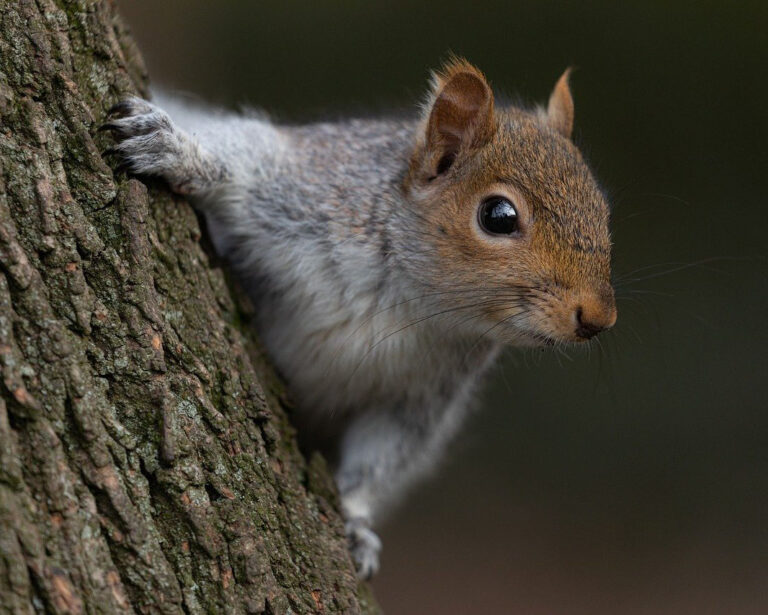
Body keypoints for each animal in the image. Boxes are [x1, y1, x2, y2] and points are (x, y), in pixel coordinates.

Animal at [103, 56, 616, 576]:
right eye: (498, 216)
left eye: (604, 210)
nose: (598, 318)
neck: (409, 299)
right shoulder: (308, 185)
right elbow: (243, 158)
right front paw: (177, 149)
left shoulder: (419, 399)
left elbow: (380, 458)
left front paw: (355, 522)